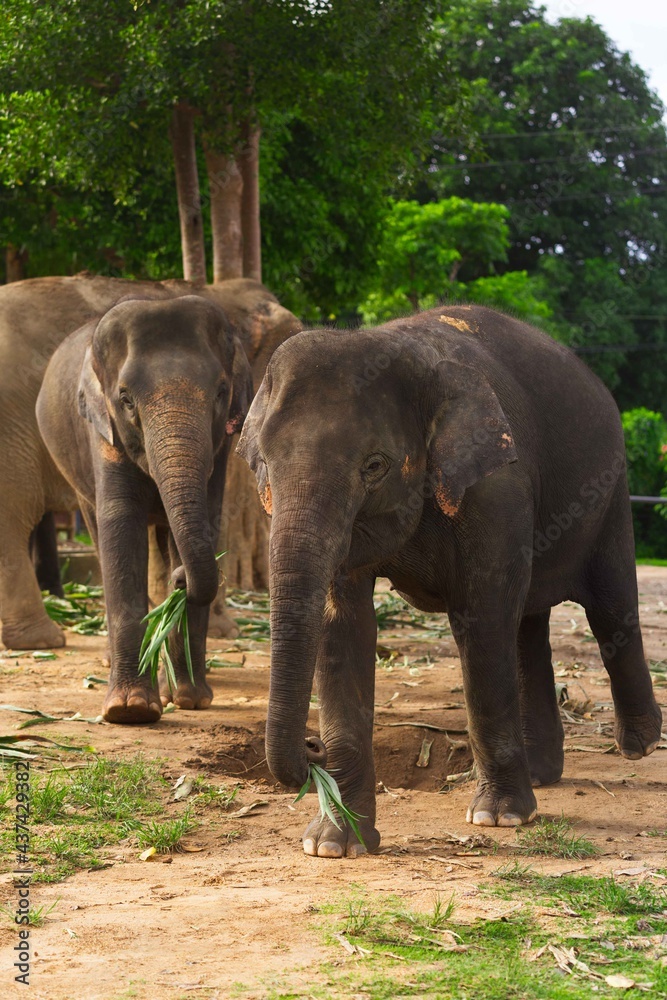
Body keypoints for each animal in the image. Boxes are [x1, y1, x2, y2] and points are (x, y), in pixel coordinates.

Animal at [36, 295, 253, 724]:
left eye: (222, 392)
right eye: (125, 399)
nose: (180, 581)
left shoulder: (220, 448)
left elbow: (207, 517)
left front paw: (191, 700)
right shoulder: (102, 430)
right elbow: (120, 524)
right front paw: (130, 710)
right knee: (98, 531)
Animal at [237, 304, 664, 857]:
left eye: (374, 465)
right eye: (264, 463)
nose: (313, 749)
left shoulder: (494, 490)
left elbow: (481, 622)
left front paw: (498, 817)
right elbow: (343, 627)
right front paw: (334, 844)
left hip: (611, 489)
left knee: (608, 604)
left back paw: (639, 745)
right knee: (528, 625)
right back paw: (543, 775)